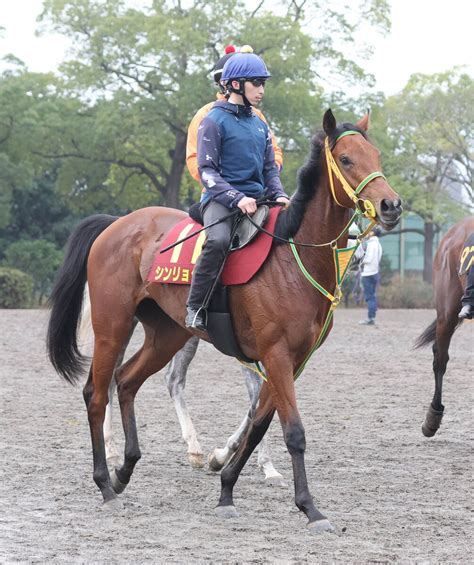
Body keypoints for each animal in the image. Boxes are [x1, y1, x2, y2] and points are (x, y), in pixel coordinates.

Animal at [48, 108, 402, 532]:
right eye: (346, 159)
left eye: (376, 155)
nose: (391, 205)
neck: (293, 256)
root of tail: (117, 223)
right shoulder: (275, 354)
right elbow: (293, 431)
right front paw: (310, 508)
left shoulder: (293, 360)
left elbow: (259, 424)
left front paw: (227, 488)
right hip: (112, 326)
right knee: (97, 393)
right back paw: (105, 482)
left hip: (166, 334)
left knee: (127, 380)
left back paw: (125, 470)